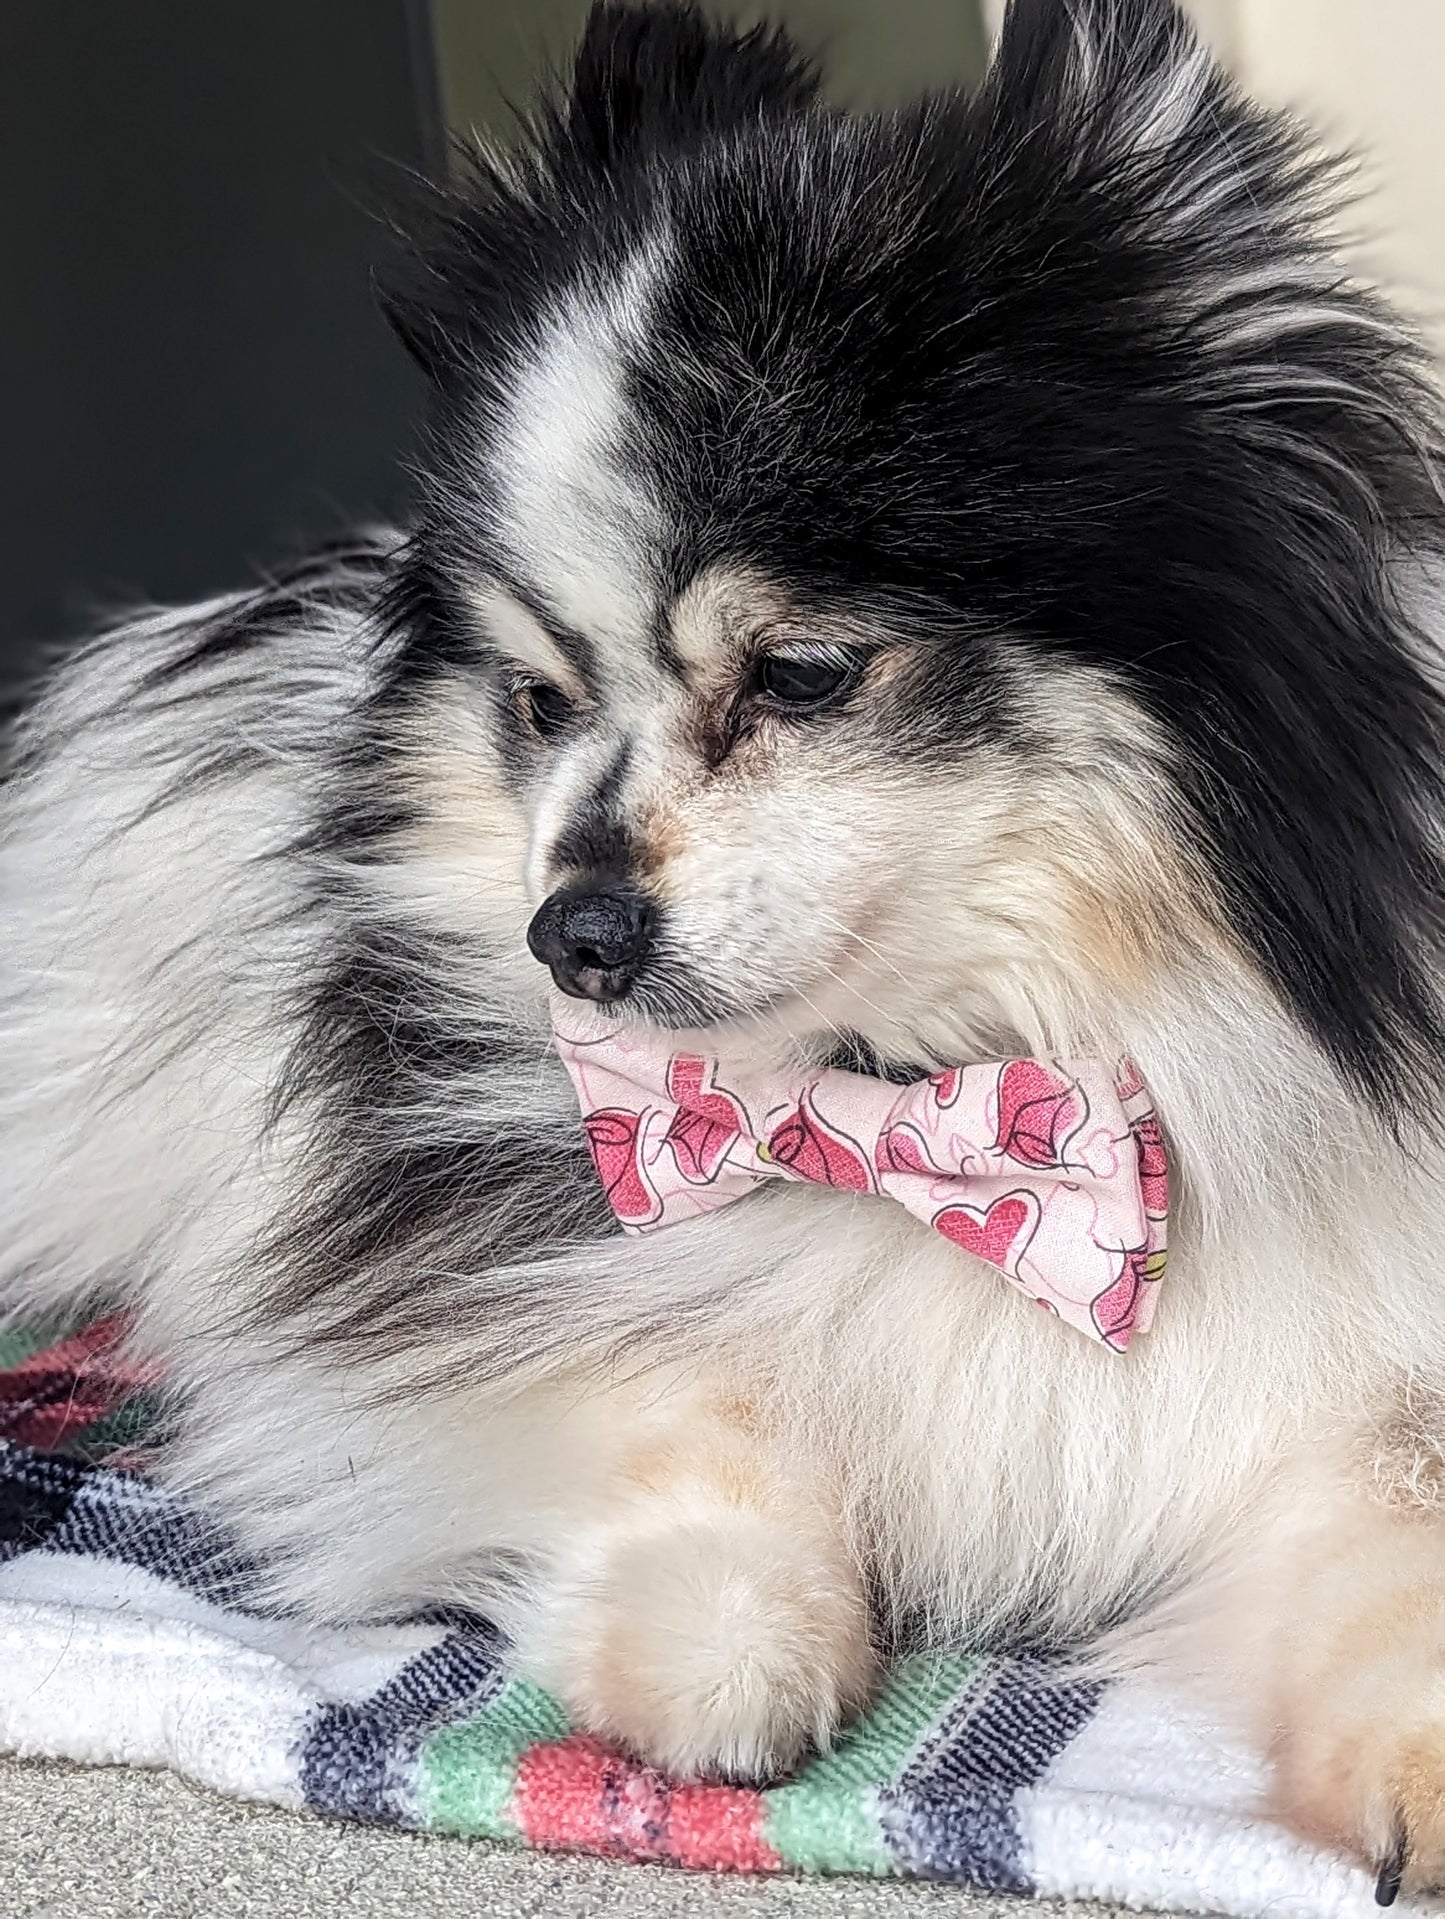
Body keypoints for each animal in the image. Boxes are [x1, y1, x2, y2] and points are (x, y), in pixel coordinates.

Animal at [8, 0, 1443, 1888]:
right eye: (537, 702)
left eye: (803, 674)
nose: (571, 931)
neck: (919, 1089)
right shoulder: (467, 1286)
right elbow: (676, 1389)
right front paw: (724, 1627)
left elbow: (1395, 1513)